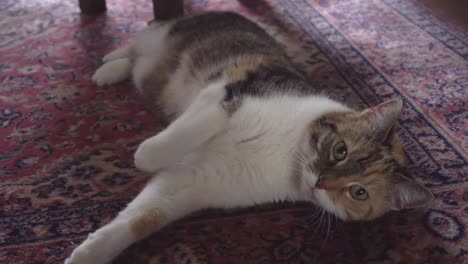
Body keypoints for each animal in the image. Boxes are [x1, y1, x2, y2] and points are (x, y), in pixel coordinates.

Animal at [64, 11, 434, 262]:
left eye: (358, 192)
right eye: (340, 150)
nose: (321, 182)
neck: (285, 153)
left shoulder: (195, 181)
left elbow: (143, 215)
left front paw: (88, 253)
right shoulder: (229, 92)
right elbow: (188, 129)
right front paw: (146, 154)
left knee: (137, 62)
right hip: (167, 34)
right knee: (138, 40)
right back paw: (106, 64)